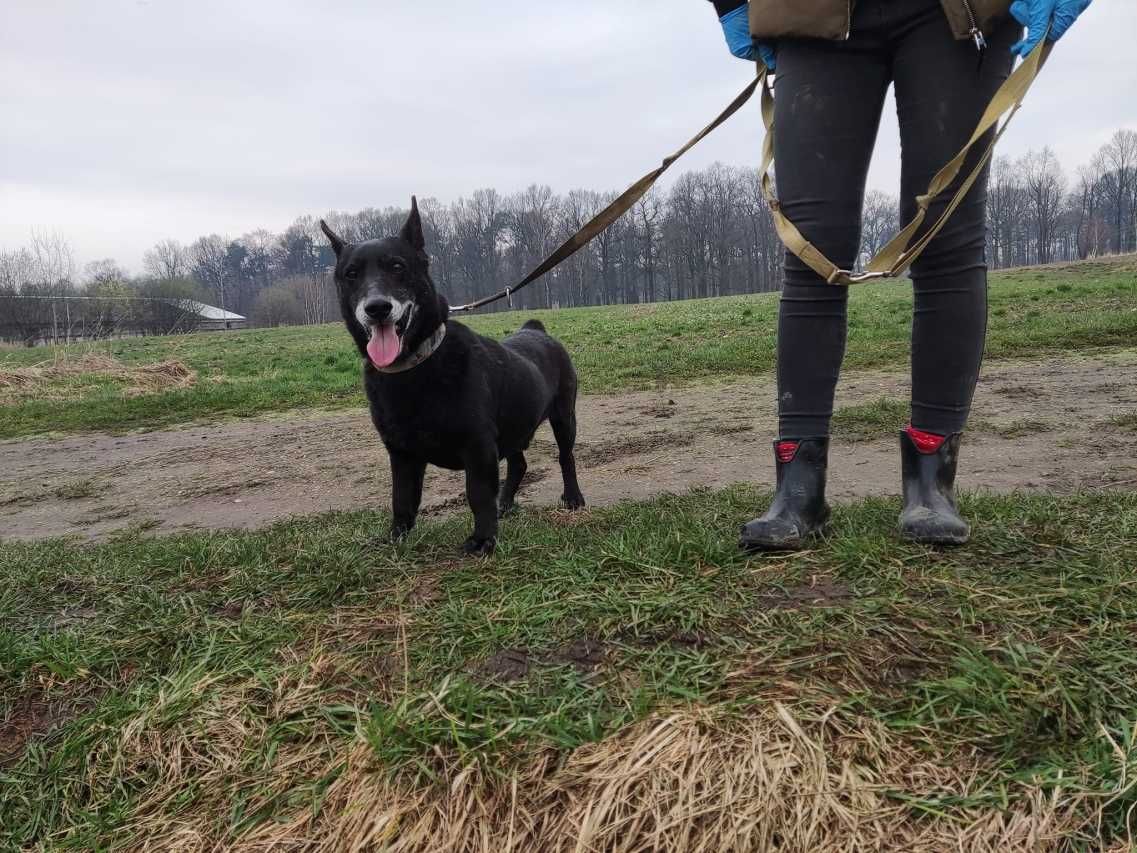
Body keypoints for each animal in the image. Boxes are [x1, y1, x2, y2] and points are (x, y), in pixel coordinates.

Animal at [320, 197, 586, 557]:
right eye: (351, 274)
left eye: (398, 266)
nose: (377, 307)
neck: (415, 368)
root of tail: (536, 329)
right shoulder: (401, 453)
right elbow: (402, 499)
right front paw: (397, 537)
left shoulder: (478, 446)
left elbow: (478, 494)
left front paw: (484, 539)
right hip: (513, 425)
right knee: (519, 464)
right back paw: (506, 503)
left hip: (563, 417)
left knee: (565, 456)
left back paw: (572, 497)